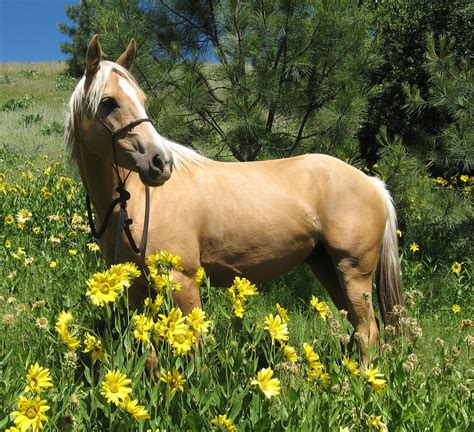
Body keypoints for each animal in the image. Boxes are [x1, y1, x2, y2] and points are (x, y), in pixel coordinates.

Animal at [65, 35, 402, 362]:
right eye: (108, 102)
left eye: (142, 99)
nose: (160, 162)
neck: (136, 202)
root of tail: (372, 183)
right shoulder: (136, 287)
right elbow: (149, 357)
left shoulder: (183, 280)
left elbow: (195, 352)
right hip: (327, 267)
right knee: (360, 329)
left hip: (353, 271)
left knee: (368, 332)